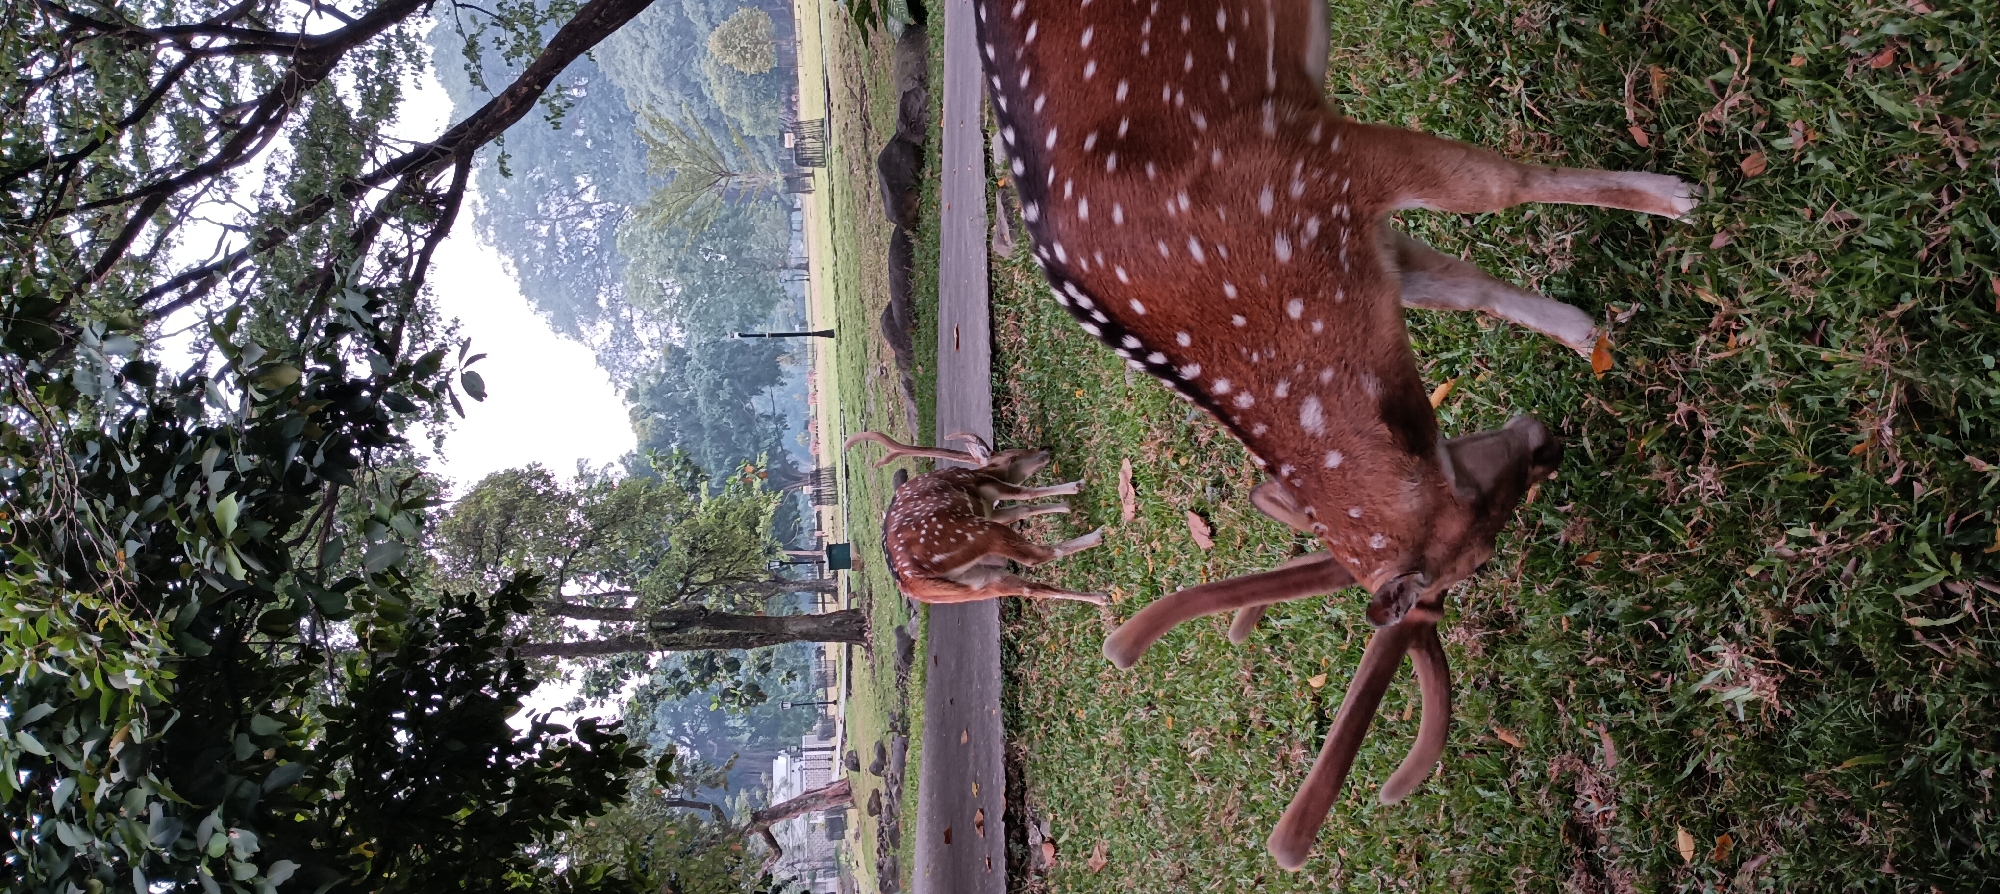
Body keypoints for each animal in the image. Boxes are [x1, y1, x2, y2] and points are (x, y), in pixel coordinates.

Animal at [844, 431, 1108, 605]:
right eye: (1014, 454)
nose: (1046, 448)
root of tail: (913, 581)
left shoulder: (990, 509)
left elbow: (1022, 509)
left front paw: (1065, 505)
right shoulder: (985, 486)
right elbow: (1025, 494)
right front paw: (1076, 488)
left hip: (975, 584)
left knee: (1026, 588)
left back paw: (1101, 597)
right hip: (975, 532)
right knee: (1036, 556)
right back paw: (1098, 536)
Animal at [973, 0, 1696, 870]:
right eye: (1479, 555)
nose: (1548, 441)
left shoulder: (1321, 158)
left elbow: (1496, 192)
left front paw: (1678, 197)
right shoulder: (1344, 209)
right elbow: (1462, 286)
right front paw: (1589, 330)